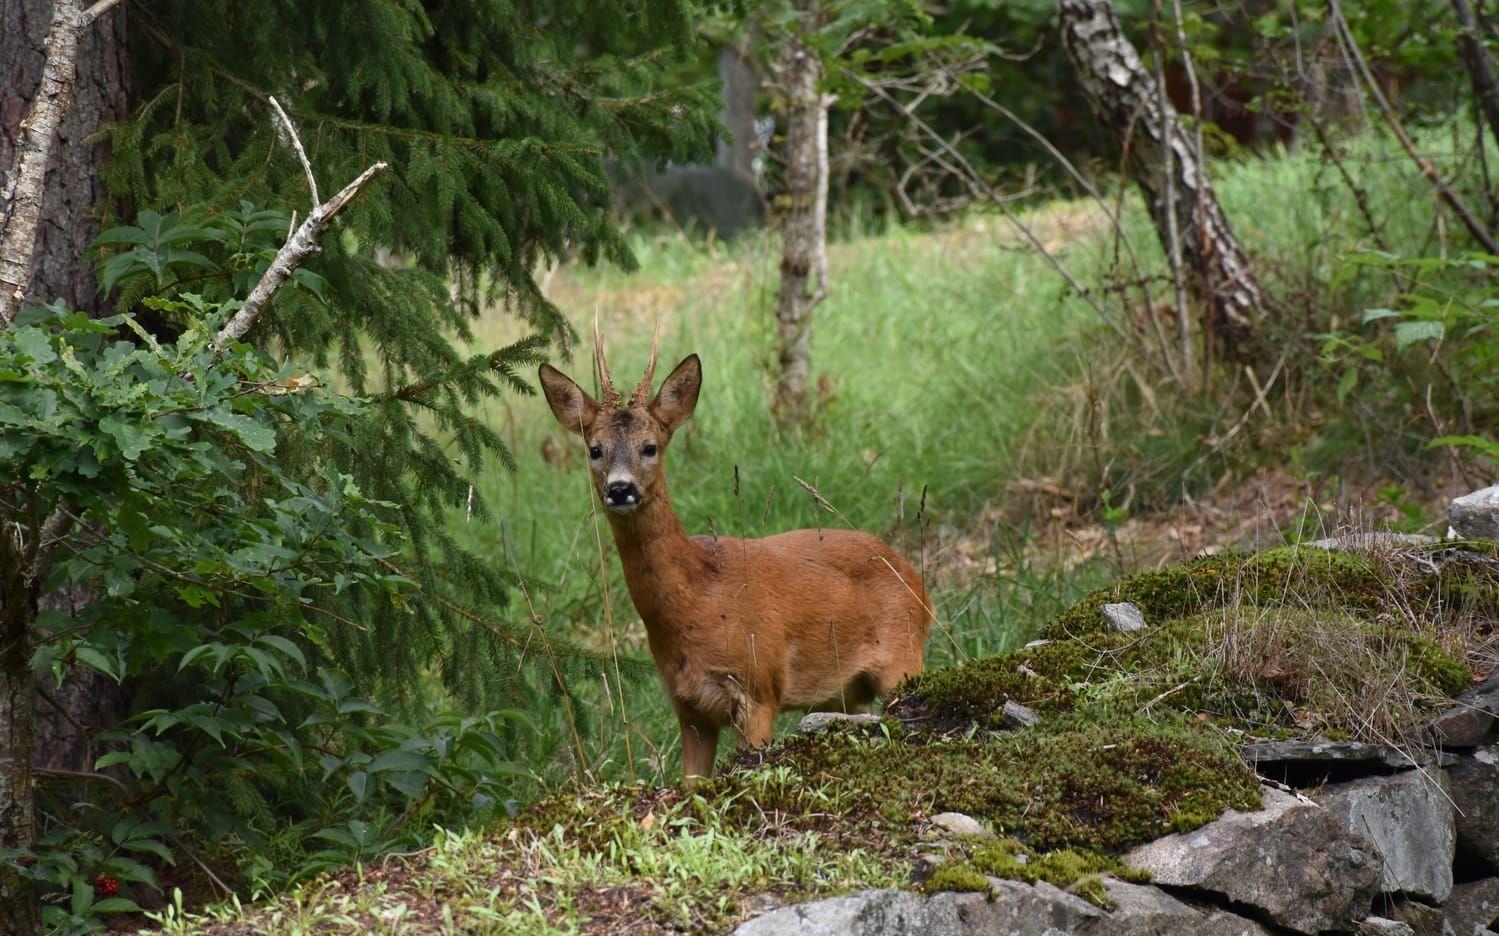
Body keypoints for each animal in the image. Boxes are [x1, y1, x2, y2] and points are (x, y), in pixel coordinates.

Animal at [539, 333, 929, 780]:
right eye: (595, 449)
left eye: (650, 447)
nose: (620, 489)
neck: (700, 597)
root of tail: (917, 582)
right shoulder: (688, 707)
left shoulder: (759, 687)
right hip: (846, 691)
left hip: (902, 656)